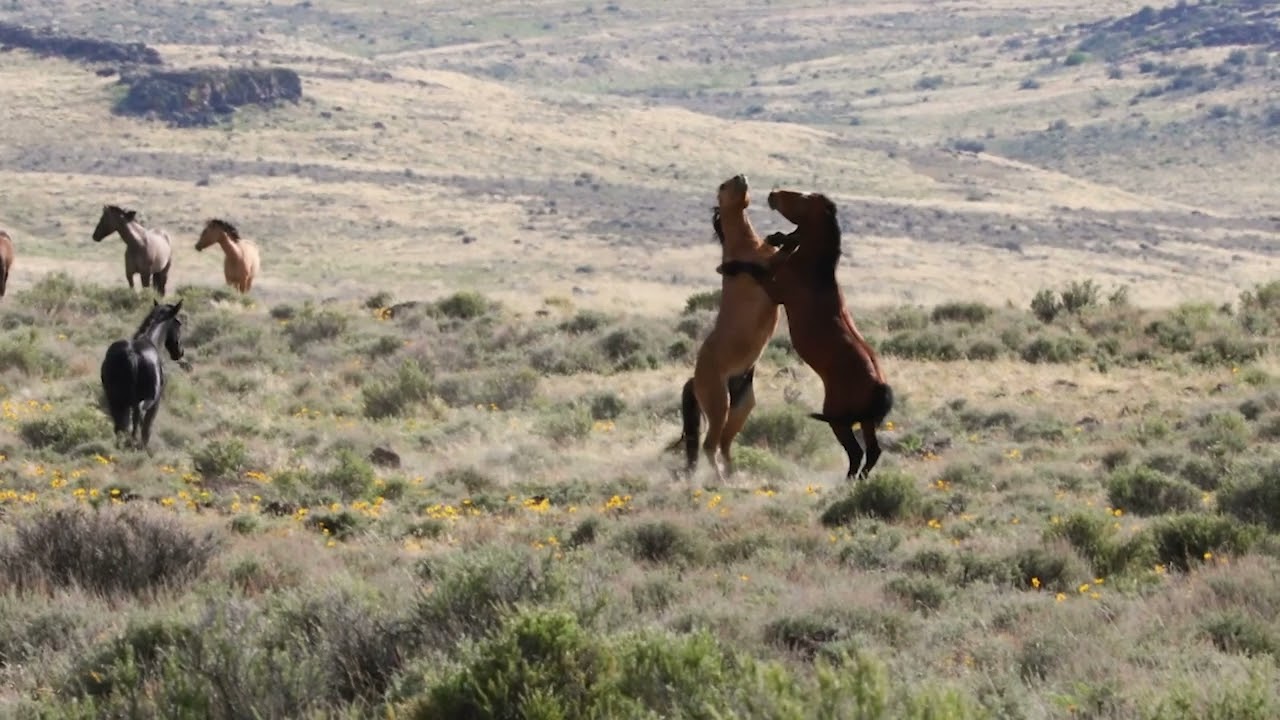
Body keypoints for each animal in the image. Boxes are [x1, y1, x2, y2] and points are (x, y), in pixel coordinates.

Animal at [100, 300, 184, 450]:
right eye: (179, 323)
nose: (180, 352)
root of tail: (132, 355)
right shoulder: (156, 403)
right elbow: (147, 426)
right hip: (146, 400)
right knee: (138, 418)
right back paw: (135, 443)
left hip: (114, 399)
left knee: (120, 425)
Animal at [668, 174, 786, 484]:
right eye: (723, 187)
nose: (741, 177)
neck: (747, 248)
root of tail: (695, 379)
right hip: (719, 405)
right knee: (710, 446)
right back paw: (722, 482)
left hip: (741, 407)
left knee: (724, 445)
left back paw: (735, 478)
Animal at [718, 189, 894, 481]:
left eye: (803, 199)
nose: (773, 194)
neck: (812, 269)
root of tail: (879, 387)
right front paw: (777, 238)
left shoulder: (775, 290)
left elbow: (754, 269)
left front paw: (728, 267)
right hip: (865, 422)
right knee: (872, 451)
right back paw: (858, 481)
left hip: (838, 420)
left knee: (856, 452)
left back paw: (848, 481)